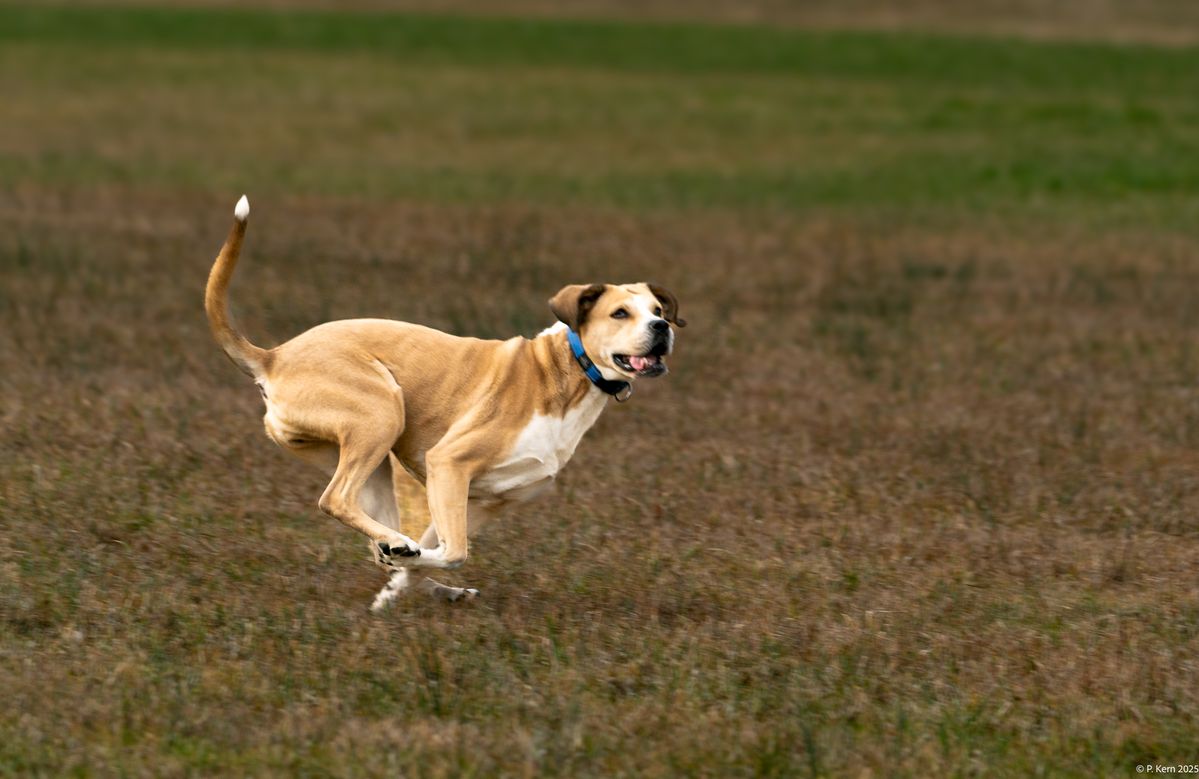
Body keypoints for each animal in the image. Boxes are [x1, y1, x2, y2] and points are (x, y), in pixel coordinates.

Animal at [206, 197, 685, 608]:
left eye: (658, 309)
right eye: (620, 313)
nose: (662, 327)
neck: (566, 371)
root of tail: (273, 356)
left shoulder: (483, 499)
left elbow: (431, 552)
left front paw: (397, 585)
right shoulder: (448, 465)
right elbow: (454, 551)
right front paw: (407, 563)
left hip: (372, 463)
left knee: (370, 530)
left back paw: (420, 572)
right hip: (382, 414)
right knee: (335, 500)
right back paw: (402, 550)